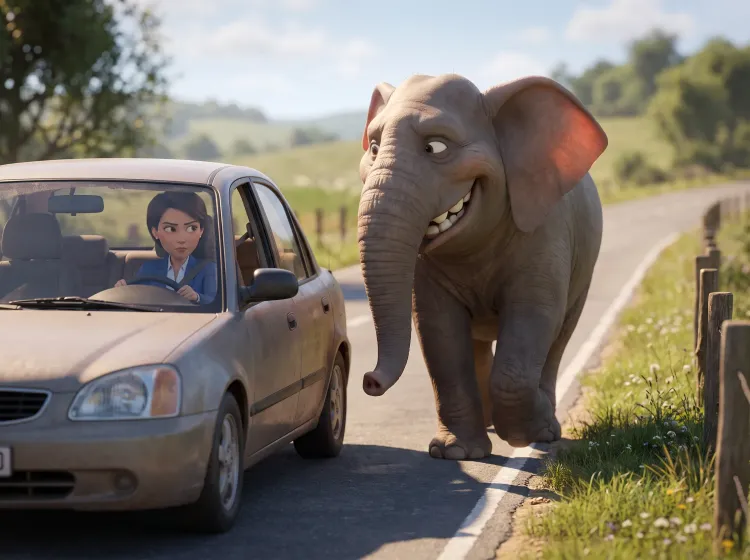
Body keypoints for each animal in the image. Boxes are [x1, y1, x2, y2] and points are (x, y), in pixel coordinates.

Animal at [356, 73, 608, 460]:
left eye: (436, 148)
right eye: (373, 147)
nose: (369, 380)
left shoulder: (546, 232)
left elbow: (535, 315)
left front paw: (528, 433)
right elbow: (438, 331)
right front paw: (457, 453)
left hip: (586, 268)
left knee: (560, 334)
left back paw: (545, 427)